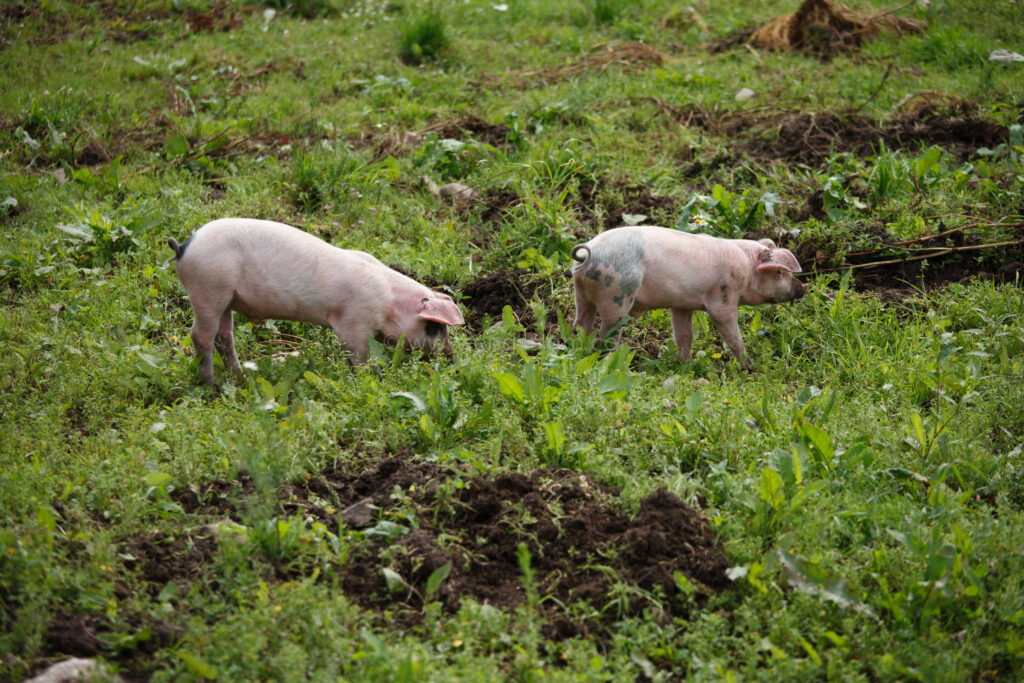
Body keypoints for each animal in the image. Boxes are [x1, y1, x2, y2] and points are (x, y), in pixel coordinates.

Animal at [166, 218, 464, 385]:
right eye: (435, 327)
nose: (451, 358)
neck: (390, 303)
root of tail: (183, 247)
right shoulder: (354, 324)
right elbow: (358, 355)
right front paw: (371, 377)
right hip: (208, 290)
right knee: (200, 335)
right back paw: (212, 385)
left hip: (225, 298)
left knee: (224, 335)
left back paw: (241, 377)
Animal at [573, 227, 802, 370]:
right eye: (779, 273)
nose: (803, 288)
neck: (746, 270)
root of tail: (589, 255)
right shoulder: (723, 297)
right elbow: (731, 334)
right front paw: (748, 367)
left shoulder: (681, 304)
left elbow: (684, 334)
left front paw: (686, 364)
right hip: (617, 294)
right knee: (607, 333)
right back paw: (610, 359)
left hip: (580, 292)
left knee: (581, 323)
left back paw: (581, 348)